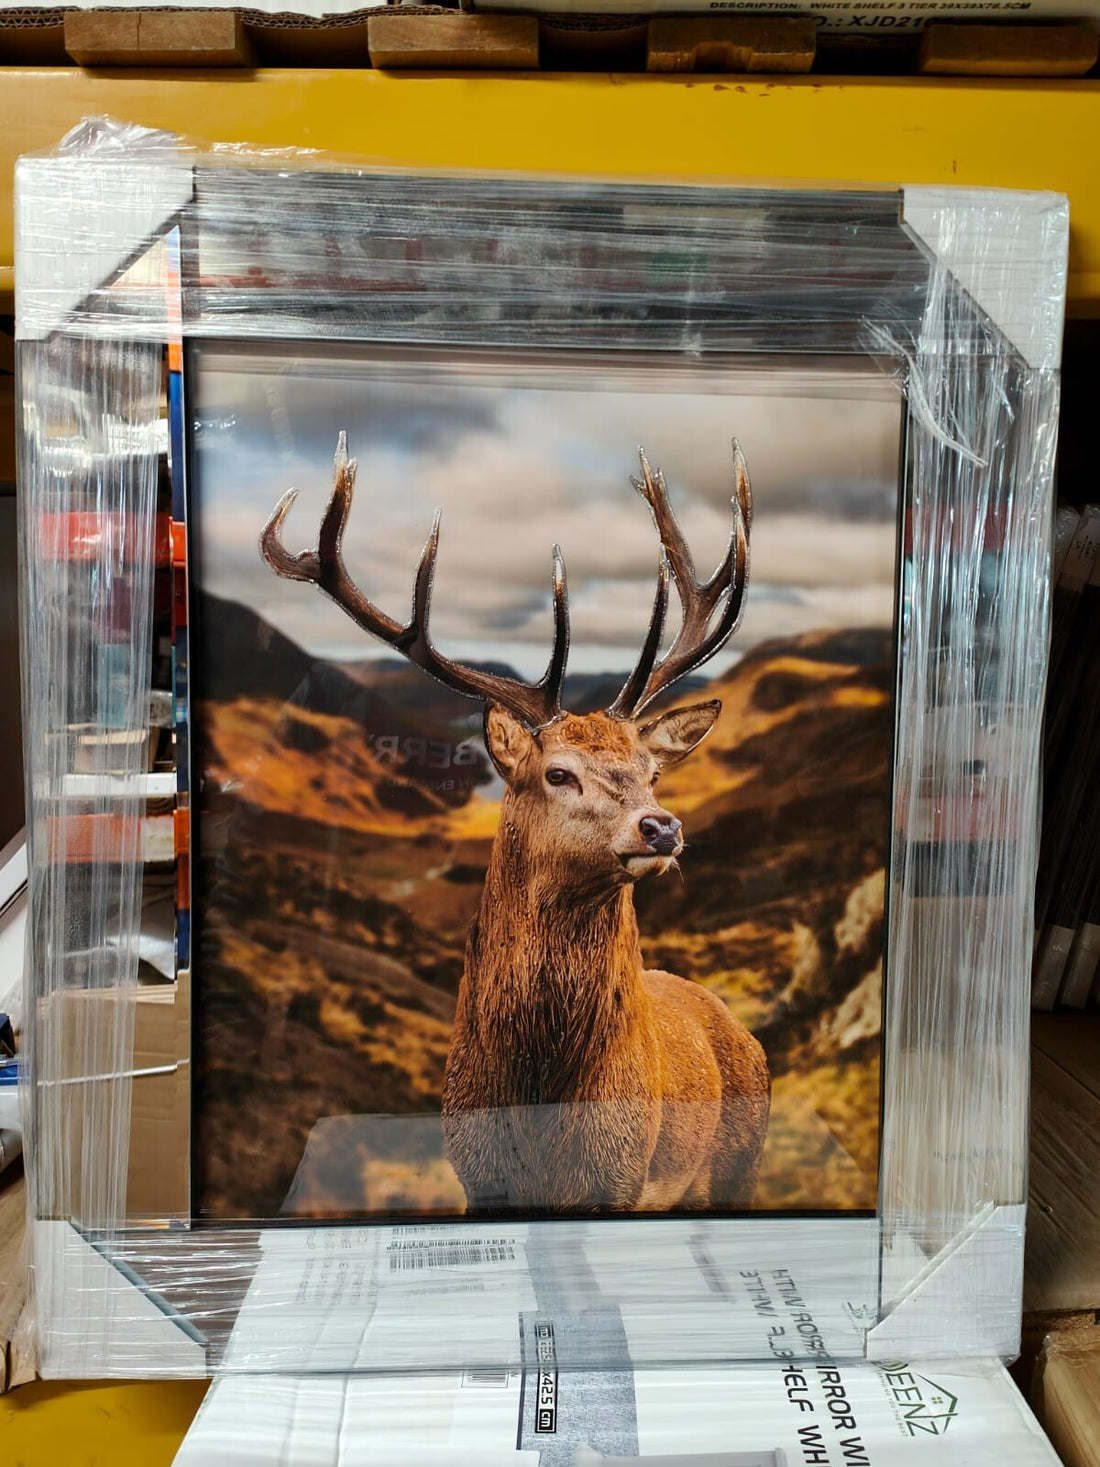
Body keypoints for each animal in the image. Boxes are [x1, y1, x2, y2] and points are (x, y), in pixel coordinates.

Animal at [261, 432, 770, 1215]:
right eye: (557, 772)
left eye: (651, 772)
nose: (662, 828)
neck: (537, 1104)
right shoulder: (477, 1175)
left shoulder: (622, 1177)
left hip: (739, 1165)